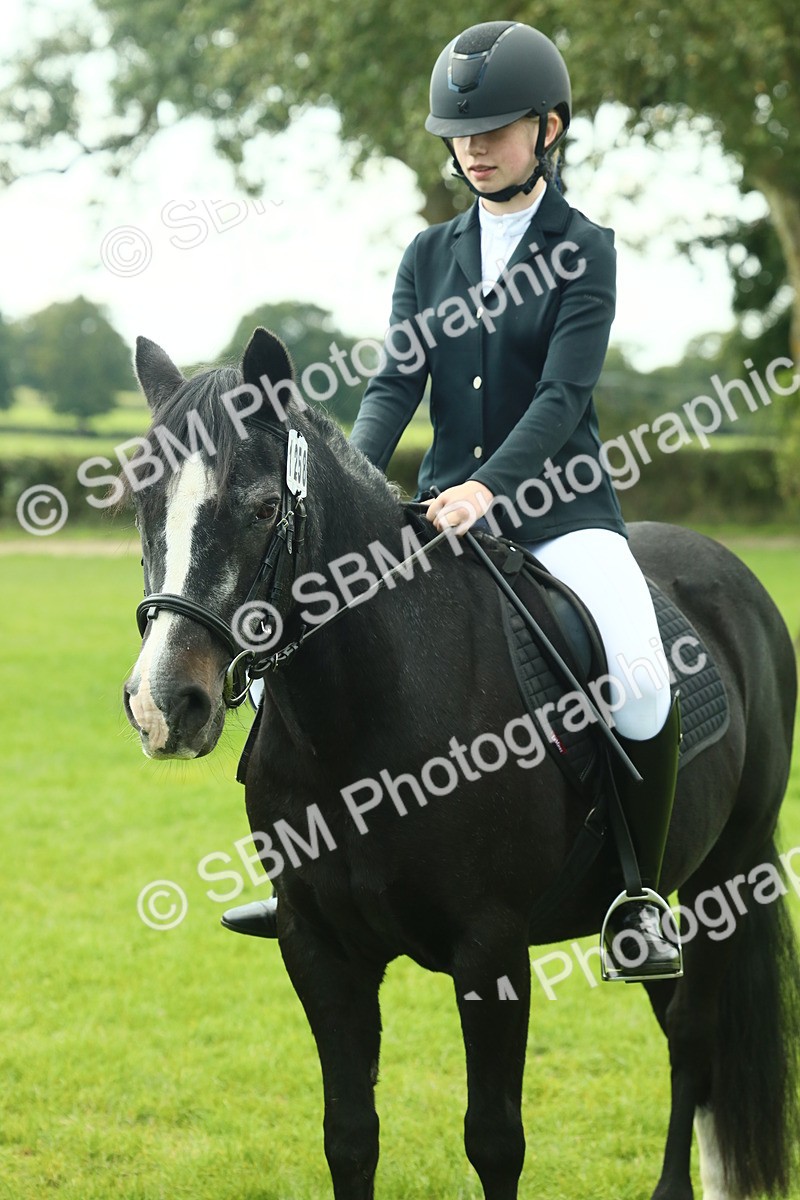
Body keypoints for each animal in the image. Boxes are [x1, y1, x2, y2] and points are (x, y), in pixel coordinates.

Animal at [123, 327, 800, 1200]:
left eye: (264, 508)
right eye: (142, 506)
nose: (163, 704)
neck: (365, 721)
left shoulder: (492, 950)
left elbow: (494, 1141)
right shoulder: (319, 947)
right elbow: (350, 1137)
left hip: (729, 871)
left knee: (693, 1034)